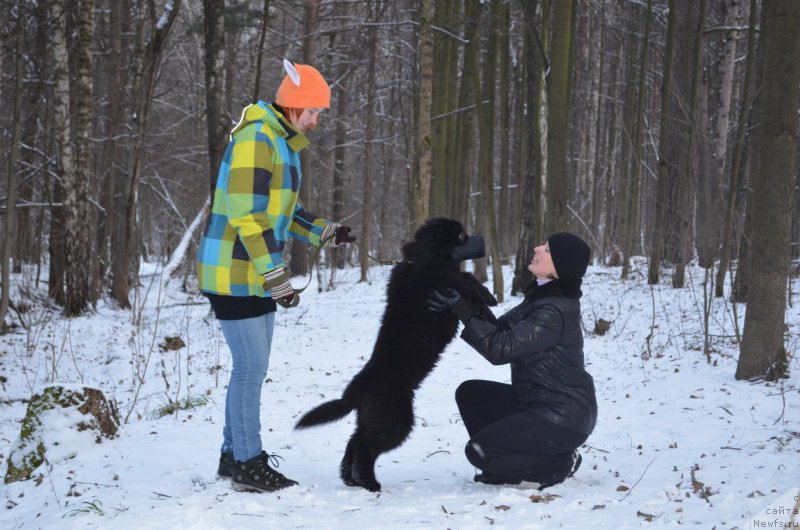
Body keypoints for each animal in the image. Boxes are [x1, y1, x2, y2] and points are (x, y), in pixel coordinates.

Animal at [296, 217, 494, 488]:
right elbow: (467, 281)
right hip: (395, 420)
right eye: (461, 235)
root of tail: (353, 393)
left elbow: (468, 278)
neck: (423, 260)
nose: (481, 241)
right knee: (365, 446)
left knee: (353, 442)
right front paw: (489, 302)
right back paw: (370, 483)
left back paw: (351, 479)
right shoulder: (447, 281)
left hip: (369, 419)